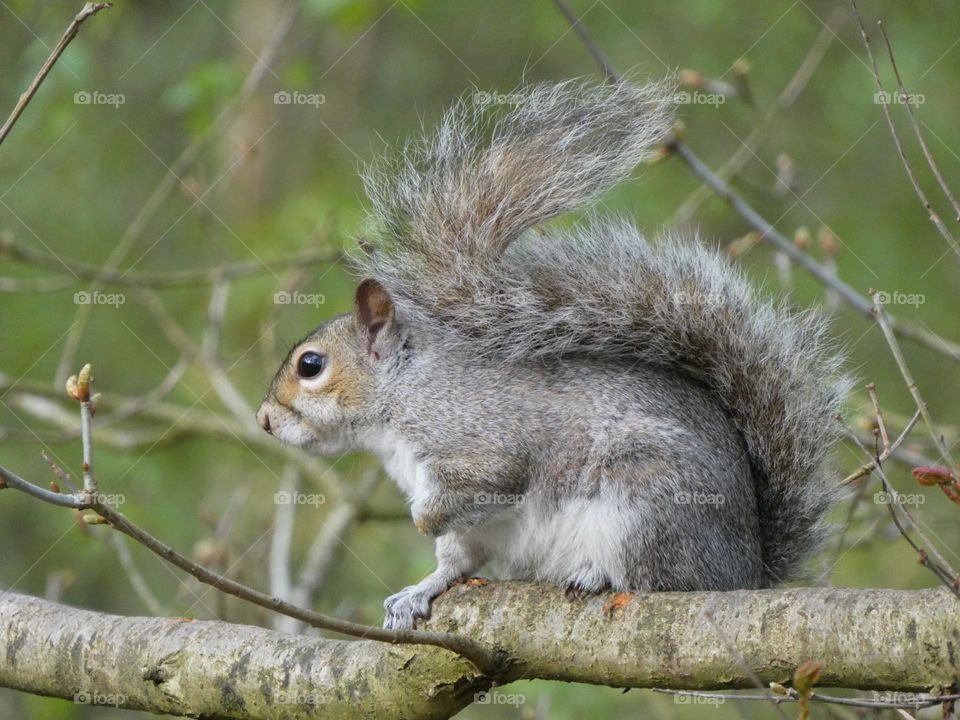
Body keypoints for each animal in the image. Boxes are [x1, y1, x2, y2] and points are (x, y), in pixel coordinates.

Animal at [257, 79, 851, 631]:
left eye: (311, 365)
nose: (263, 420)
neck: (404, 395)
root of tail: (744, 571)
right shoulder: (469, 525)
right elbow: (455, 560)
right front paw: (422, 586)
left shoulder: (481, 442)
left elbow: (485, 484)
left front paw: (423, 520)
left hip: (647, 500)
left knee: (660, 579)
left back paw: (598, 575)